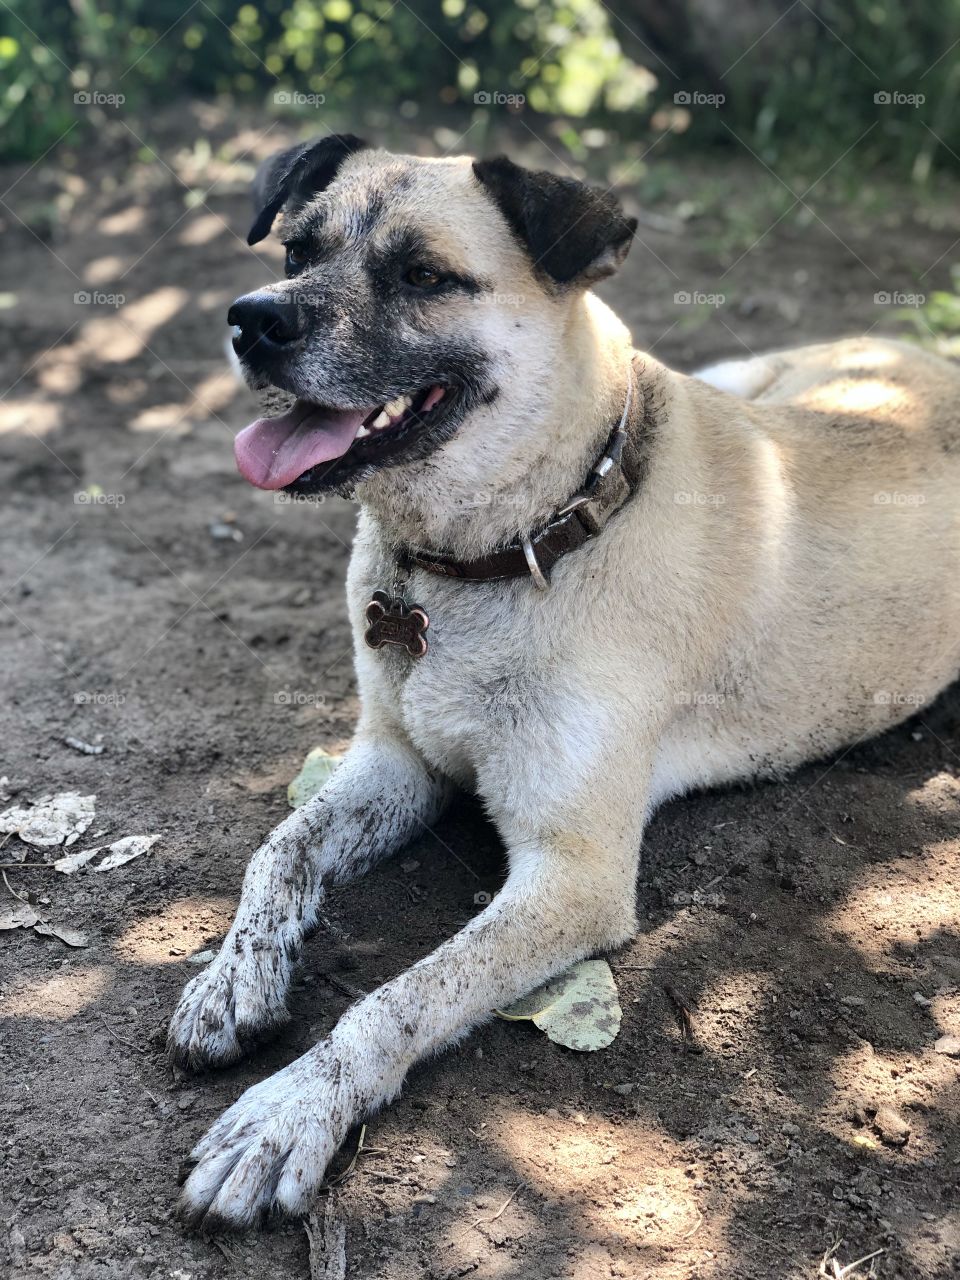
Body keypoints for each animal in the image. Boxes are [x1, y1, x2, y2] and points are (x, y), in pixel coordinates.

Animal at [168, 132, 960, 1228]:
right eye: (296, 247)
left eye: (424, 276)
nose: (253, 319)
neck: (528, 535)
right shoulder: (397, 760)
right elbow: (277, 852)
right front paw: (231, 980)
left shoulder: (571, 876)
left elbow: (399, 997)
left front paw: (290, 1110)